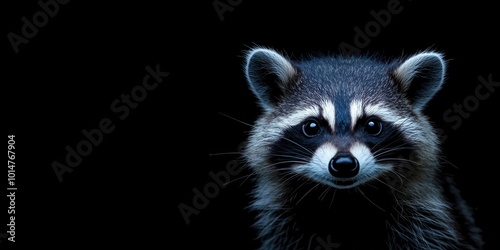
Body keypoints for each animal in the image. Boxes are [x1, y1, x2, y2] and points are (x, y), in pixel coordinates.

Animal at [242, 47, 484, 250]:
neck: (344, 199)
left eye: (372, 125)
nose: (343, 163)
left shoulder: (425, 215)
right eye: (312, 126)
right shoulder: (282, 222)